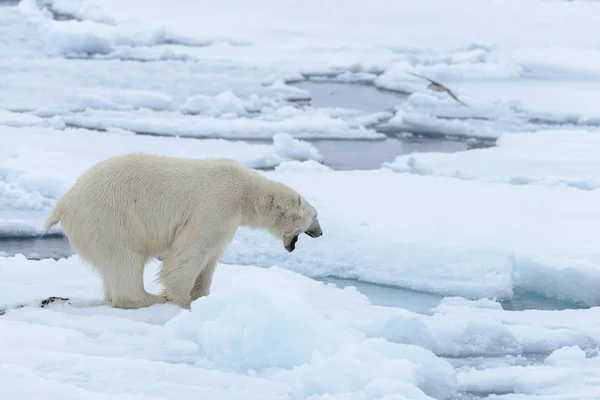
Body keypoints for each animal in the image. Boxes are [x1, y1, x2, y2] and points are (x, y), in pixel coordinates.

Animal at [42, 153, 324, 310]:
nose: (320, 233)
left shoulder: (228, 221)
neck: (246, 194)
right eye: (316, 216)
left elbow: (211, 256)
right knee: (124, 258)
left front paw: (201, 295)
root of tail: (65, 202)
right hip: (109, 217)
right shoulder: (215, 204)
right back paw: (146, 298)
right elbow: (192, 250)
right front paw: (180, 299)